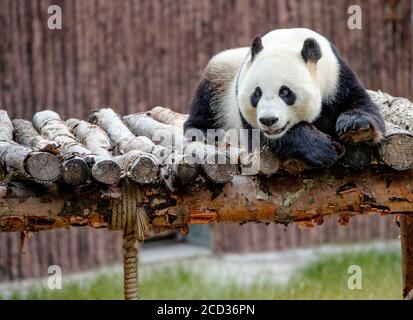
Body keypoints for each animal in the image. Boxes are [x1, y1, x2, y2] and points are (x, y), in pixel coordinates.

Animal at [182, 28, 384, 166]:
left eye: (285, 92)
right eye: (257, 93)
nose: (268, 120)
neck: (286, 43)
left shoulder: (336, 76)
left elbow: (362, 105)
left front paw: (356, 127)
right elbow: (264, 139)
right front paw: (323, 148)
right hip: (221, 79)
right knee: (205, 103)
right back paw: (201, 131)